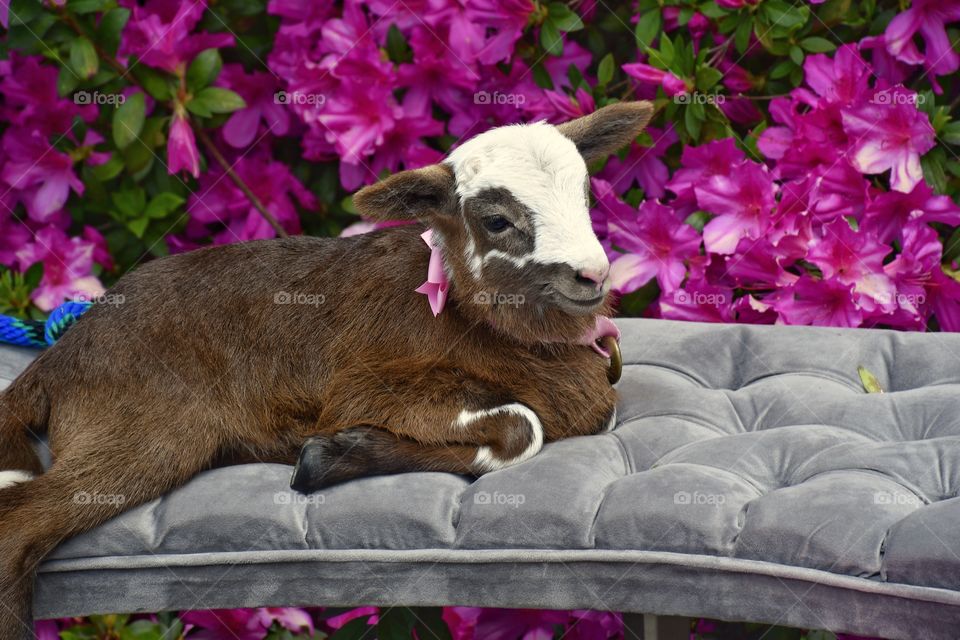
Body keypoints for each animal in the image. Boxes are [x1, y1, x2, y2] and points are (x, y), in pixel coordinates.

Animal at [0, 100, 653, 637]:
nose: (593, 275)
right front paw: (331, 454)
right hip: (145, 429)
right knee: (20, 522)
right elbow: (523, 427)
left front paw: (337, 453)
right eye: (496, 220)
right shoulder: (367, 387)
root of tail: (60, 357)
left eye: (587, 195)